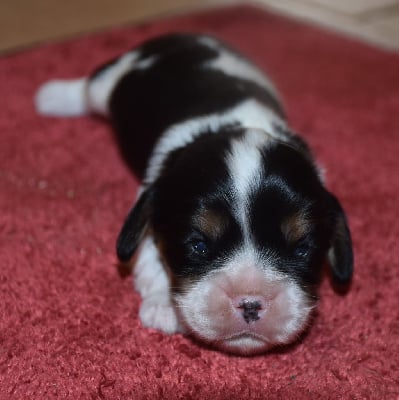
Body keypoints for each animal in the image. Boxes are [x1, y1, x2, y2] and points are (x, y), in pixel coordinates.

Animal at [34, 32, 354, 354]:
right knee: (88, 87)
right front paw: (162, 306)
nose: (250, 303)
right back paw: (51, 96)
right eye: (198, 245)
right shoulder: (151, 195)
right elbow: (148, 254)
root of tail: (180, 37)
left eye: (302, 248)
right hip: (109, 81)